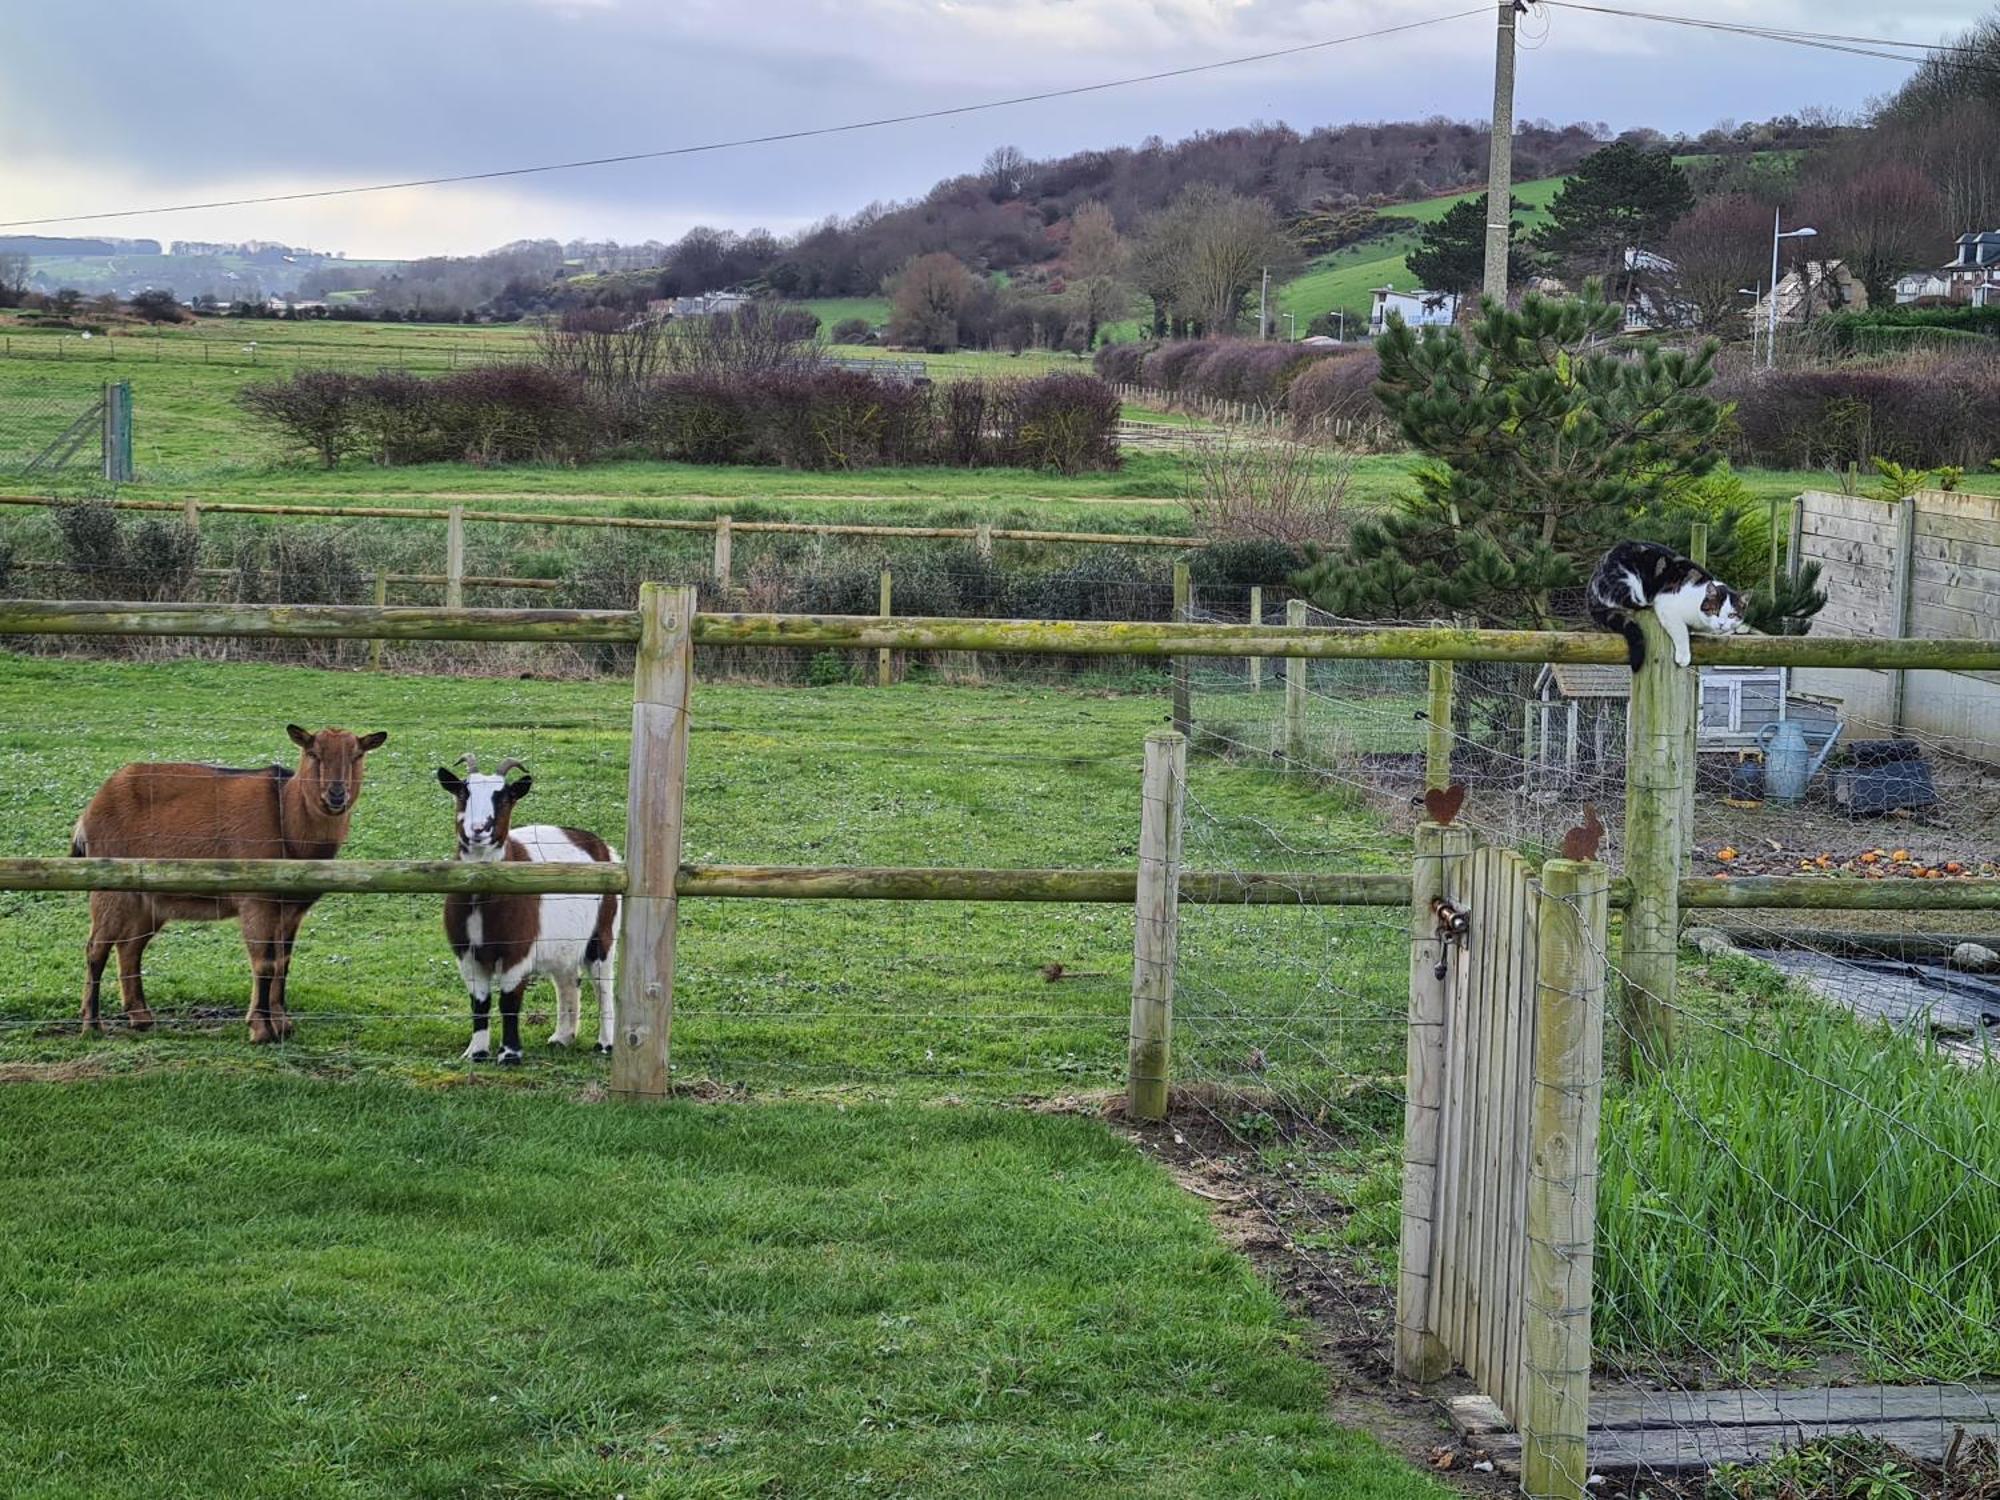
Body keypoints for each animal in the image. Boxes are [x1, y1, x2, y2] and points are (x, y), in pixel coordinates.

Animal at [73, 728, 390, 1048]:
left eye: (358, 754)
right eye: (313, 752)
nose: (336, 794)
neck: (287, 822)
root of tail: (88, 814)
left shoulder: (291, 911)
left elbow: (284, 963)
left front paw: (283, 1025)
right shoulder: (256, 901)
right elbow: (264, 963)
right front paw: (261, 1030)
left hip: (149, 900)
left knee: (129, 947)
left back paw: (141, 1018)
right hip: (109, 887)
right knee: (96, 948)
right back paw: (92, 1024)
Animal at [438, 756, 616, 1064]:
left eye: (504, 798)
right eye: (463, 792)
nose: (479, 829)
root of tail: (603, 848)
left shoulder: (517, 950)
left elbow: (509, 1000)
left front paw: (509, 1054)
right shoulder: (466, 954)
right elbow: (479, 1002)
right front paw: (476, 1052)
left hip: (602, 933)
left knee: (603, 984)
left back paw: (605, 1044)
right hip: (563, 943)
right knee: (568, 980)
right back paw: (562, 1038)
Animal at [1584, 548, 1744, 668]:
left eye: (1731, 615)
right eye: (1715, 611)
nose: (1721, 624)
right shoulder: (1667, 606)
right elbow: (1681, 631)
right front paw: (1683, 656)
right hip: (1627, 582)